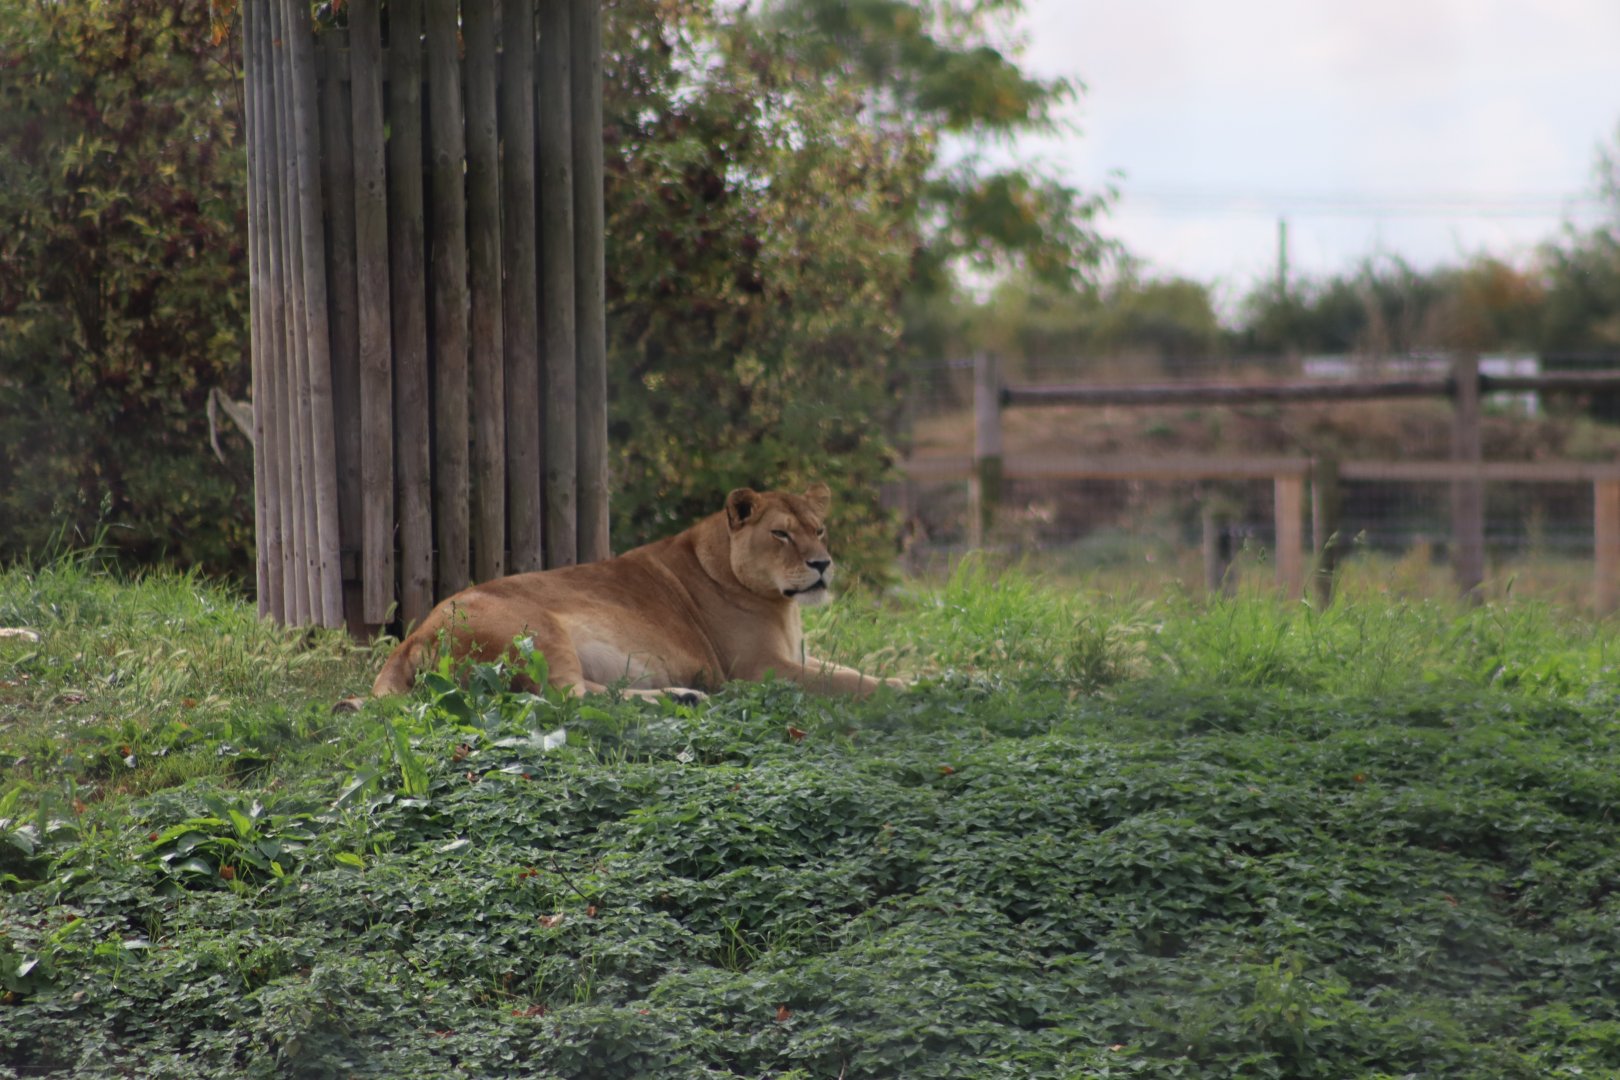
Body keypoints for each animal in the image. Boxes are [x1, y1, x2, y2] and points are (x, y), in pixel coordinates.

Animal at [371, 483, 907, 701]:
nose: (823, 564)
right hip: (540, 631)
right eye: (780, 535)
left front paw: (912, 678)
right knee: (568, 700)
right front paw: (911, 690)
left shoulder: (797, 656)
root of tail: (412, 638)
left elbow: (851, 670)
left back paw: (685, 695)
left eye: (819, 530)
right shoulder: (760, 670)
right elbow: (851, 684)